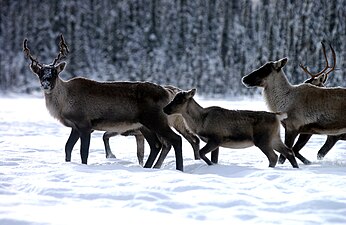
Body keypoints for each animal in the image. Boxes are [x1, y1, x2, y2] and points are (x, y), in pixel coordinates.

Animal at [164, 89, 298, 168]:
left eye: (179, 100)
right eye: (173, 98)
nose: (165, 109)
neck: (200, 122)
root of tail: (276, 116)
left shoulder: (216, 139)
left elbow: (201, 152)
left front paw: (210, 165)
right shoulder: (216, 143)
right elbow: (214, 158)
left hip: (262, 140)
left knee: (274, 157)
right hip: (275, 137)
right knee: (288, 151)